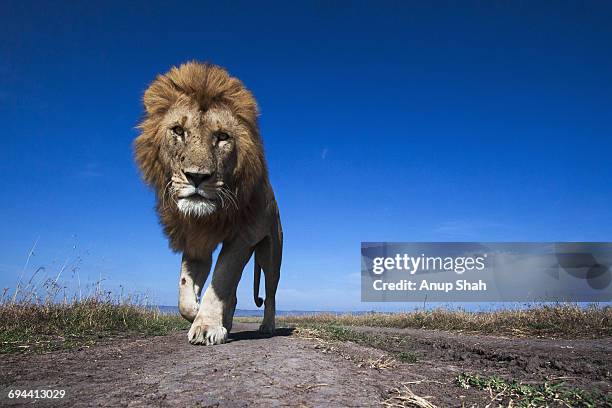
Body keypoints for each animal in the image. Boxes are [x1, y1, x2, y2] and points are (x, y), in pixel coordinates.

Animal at [134, 62, 282, 346]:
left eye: (222, 136)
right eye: (178, 131)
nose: (197, 177)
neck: (208, 217)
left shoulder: (242, 237)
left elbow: (221, 280)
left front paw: (207, 325)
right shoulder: (195, 243)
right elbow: (184, 293)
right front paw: (201, 314)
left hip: (270, 255)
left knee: (270, 294)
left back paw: (267, 326)